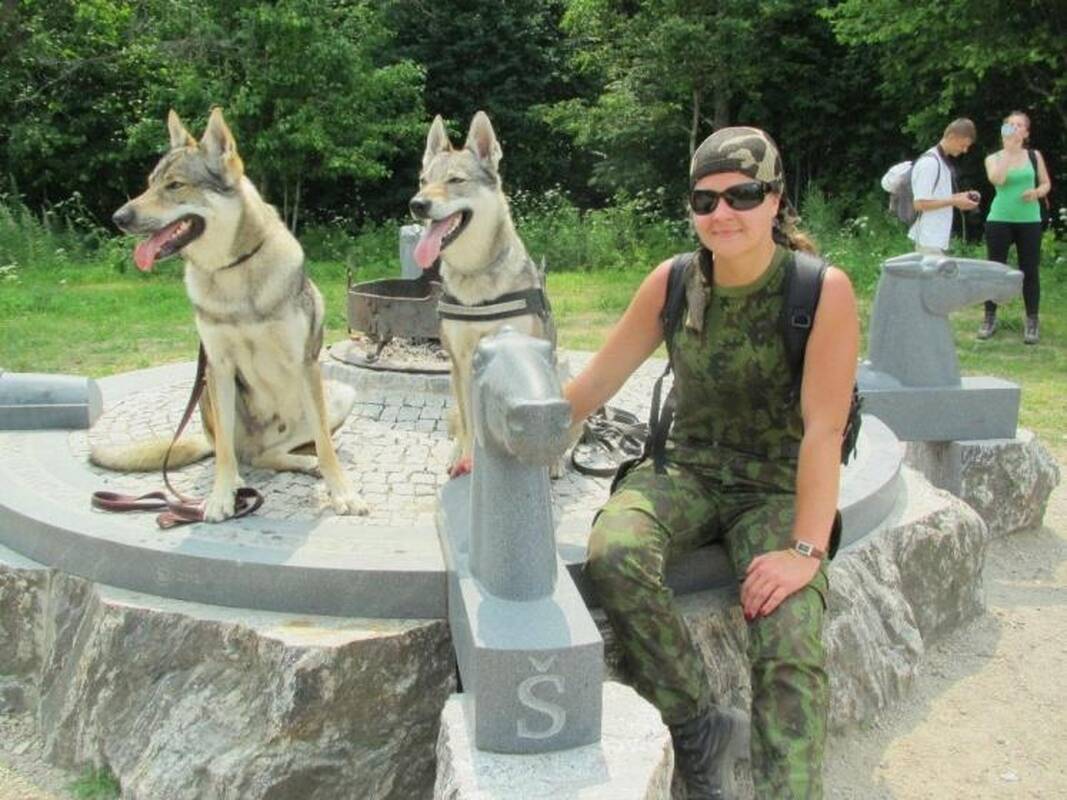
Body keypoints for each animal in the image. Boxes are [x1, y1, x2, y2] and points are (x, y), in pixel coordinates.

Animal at [93, 108, 367, 521]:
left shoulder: (304, 363)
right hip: (212, 394)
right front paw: (221, 498)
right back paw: (241, 480)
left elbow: (325, 444)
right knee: (238, 453)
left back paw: (307, 464)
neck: (233, 273)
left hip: (339, 393)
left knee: (281, 452)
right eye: (150, 184)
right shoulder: (217, 365)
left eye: (175, 185)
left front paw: (343, 494)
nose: (118, 216)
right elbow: (223, 454)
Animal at [408, 111, 558, 478]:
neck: (474, 272)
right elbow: (469, 426)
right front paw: (466, 461)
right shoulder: (459, 361)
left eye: (455, 180)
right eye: (423, 180)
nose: (417, 205)